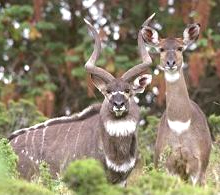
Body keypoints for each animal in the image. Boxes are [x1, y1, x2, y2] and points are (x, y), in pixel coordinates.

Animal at [141, 13, 211, 184]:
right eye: (161, 48)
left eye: (180, 48)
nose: (170, 63)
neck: (180, 123)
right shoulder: (168, 164)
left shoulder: (197, 164)